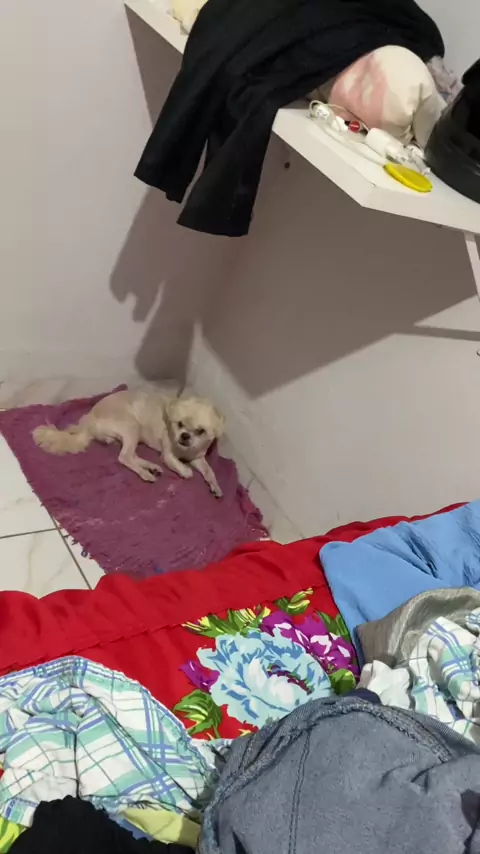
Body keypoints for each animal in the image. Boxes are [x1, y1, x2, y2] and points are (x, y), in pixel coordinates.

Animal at [33, 388, 225, 497]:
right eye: (179, 424)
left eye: (200, 431)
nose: (185, 436)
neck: (185, 450)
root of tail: (89, 419)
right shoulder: (168, 454)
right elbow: (182, 467)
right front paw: (185, 471)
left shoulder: (198, 458)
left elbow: (210, 472)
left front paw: (215, 487)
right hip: (132, 426)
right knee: (124, 457)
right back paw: (146, 473)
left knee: (131, 455)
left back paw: (151, 467)